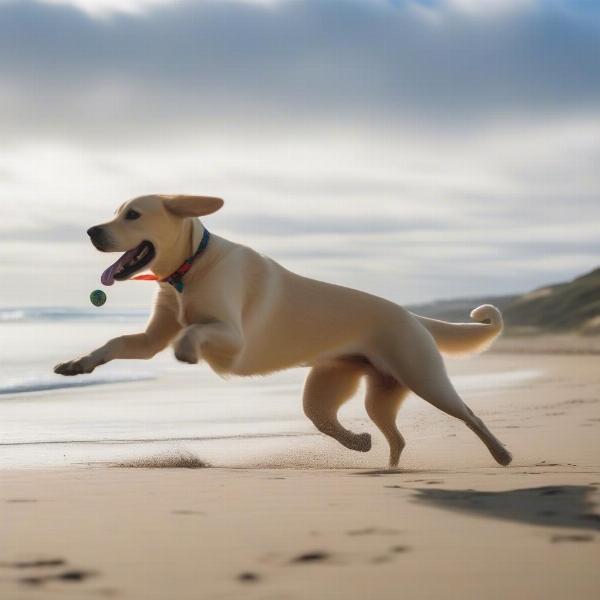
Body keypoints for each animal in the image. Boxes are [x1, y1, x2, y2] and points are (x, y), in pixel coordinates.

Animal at [56, 197, 512, 468]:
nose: (92, 231)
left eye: (132, 215)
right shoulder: (151, 341)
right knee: (381, 435)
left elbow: (195, 332)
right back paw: (369, 452)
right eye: (116, 213)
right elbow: (115, 343)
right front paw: (79, 363)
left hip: (425, 378)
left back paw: (502, 454)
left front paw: (186, 350)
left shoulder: (233, 340)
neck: (190, 267)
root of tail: (413, 315)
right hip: (353, 392)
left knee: (469, 414)